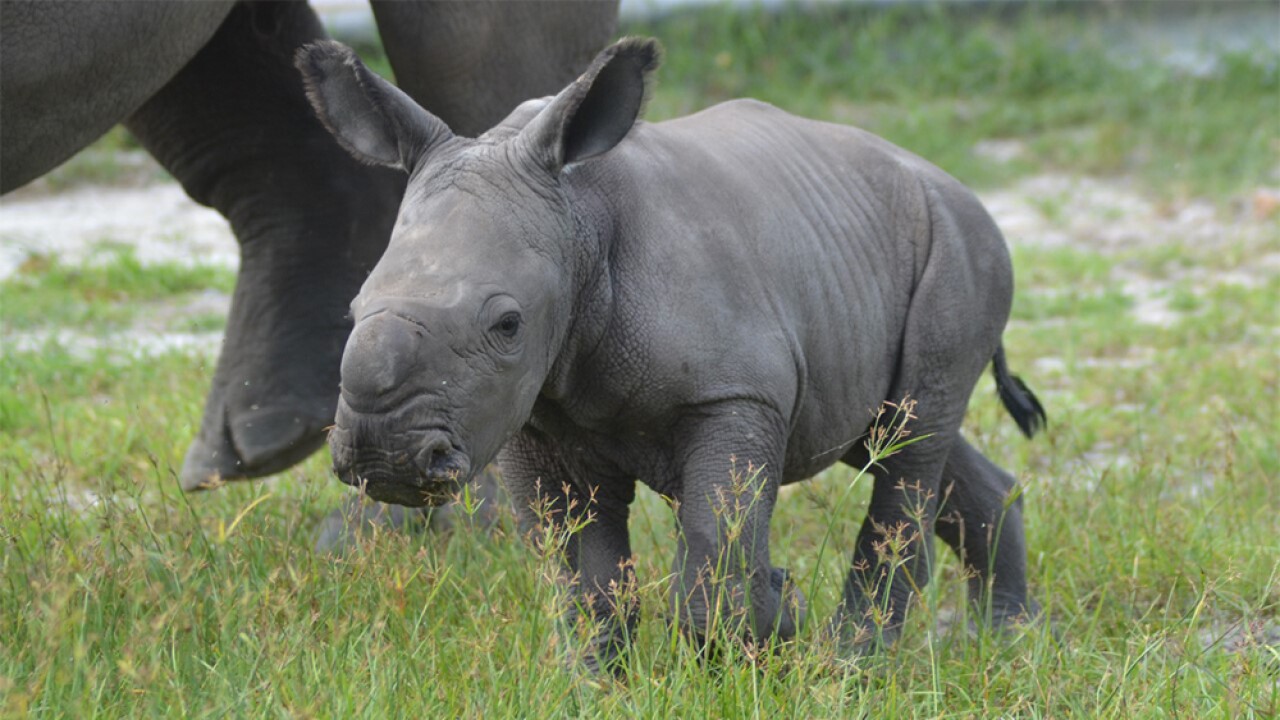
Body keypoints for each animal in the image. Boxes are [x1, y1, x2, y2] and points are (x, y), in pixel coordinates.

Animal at [300, 36, 1046, 670]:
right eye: (353, 310)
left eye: (507, 324)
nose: (384, 456)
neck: (579, 223)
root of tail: (951, 183)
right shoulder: (528, 416)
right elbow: (581, 572)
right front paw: (595, 683)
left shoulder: (734, 394)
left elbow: (717, 546)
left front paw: (766, 633)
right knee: (898, 432)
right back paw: (1007, 637)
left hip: (959, 246)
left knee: (911, 439)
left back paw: (858, 664)